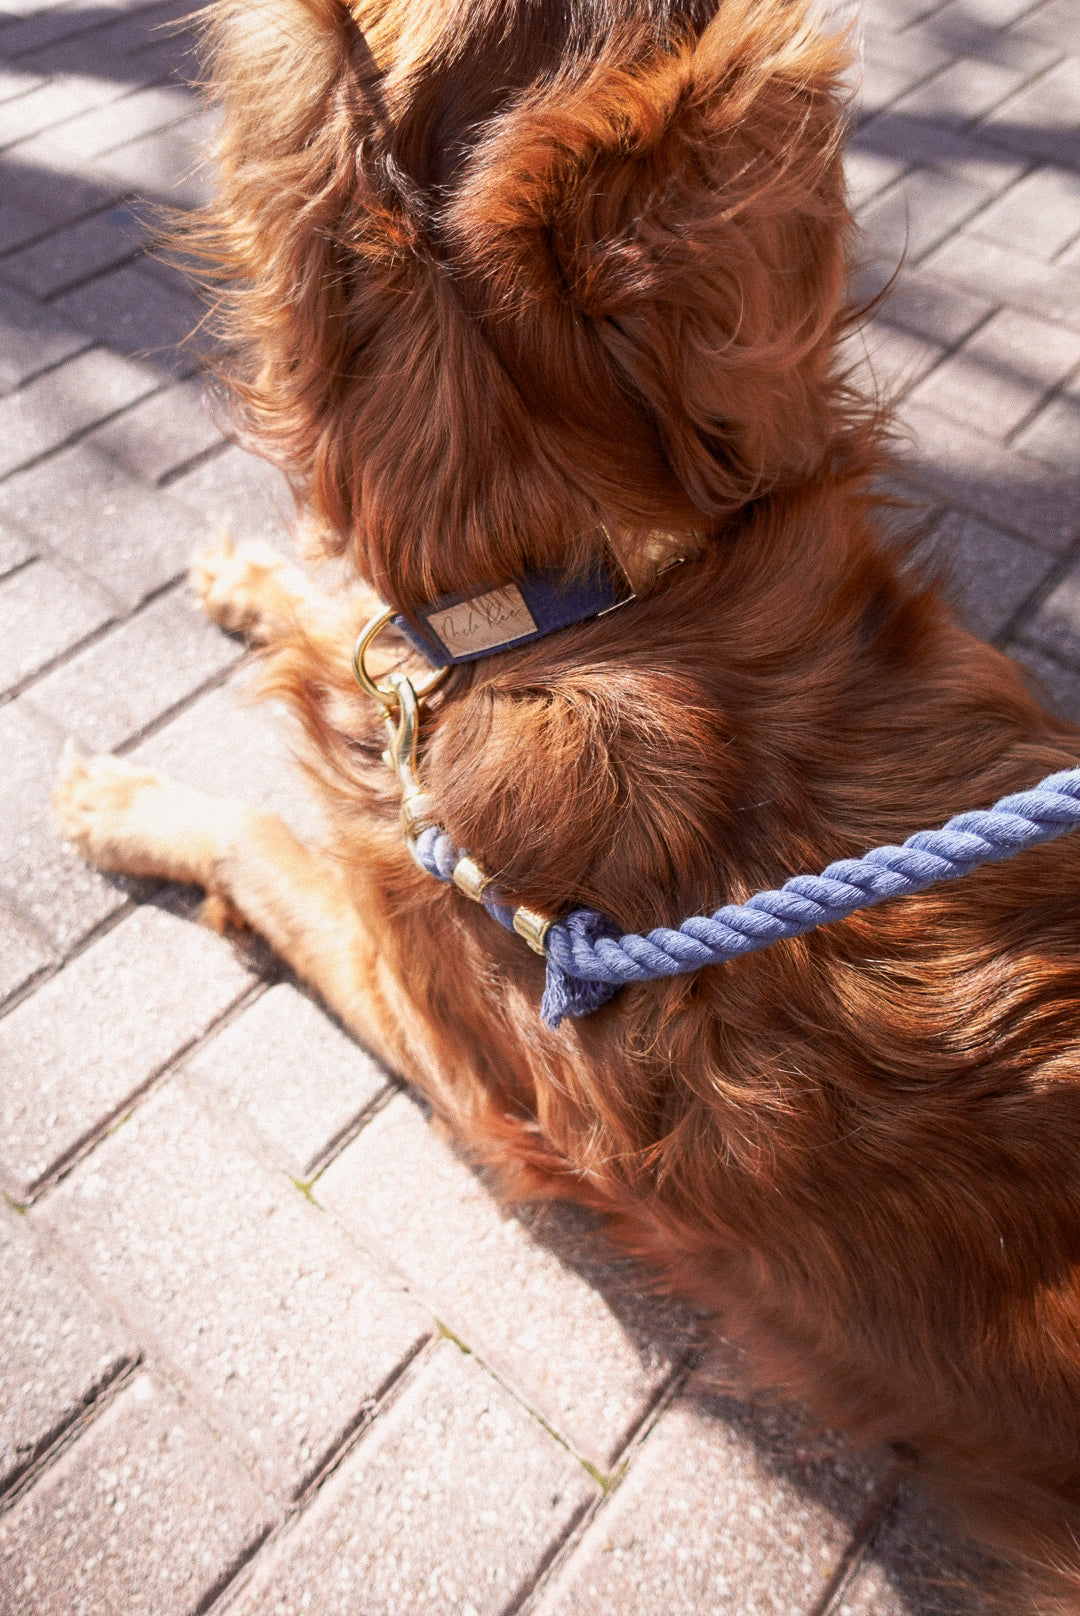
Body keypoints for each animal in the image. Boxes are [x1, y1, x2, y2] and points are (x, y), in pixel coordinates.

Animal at [52, 0, 1080, 1603]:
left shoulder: (445, 1035)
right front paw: (252, 580)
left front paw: (128, 794)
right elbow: (352, 635)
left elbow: (267, 838)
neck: (582, 600)